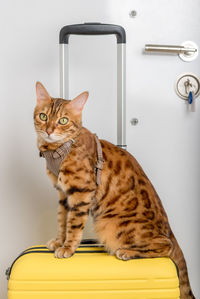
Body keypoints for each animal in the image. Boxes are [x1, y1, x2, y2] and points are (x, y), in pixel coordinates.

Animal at [33, 82, 195, 299]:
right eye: (43, 116)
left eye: (63, 120)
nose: (49, 130)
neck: (58, 150)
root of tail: (170, 230)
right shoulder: (63, 194)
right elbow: (62, 221)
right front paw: (60, 242)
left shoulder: (81, 192)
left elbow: (73, 225)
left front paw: (68, 248)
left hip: (111, 225)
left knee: (165, 245)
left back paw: (127, 252)